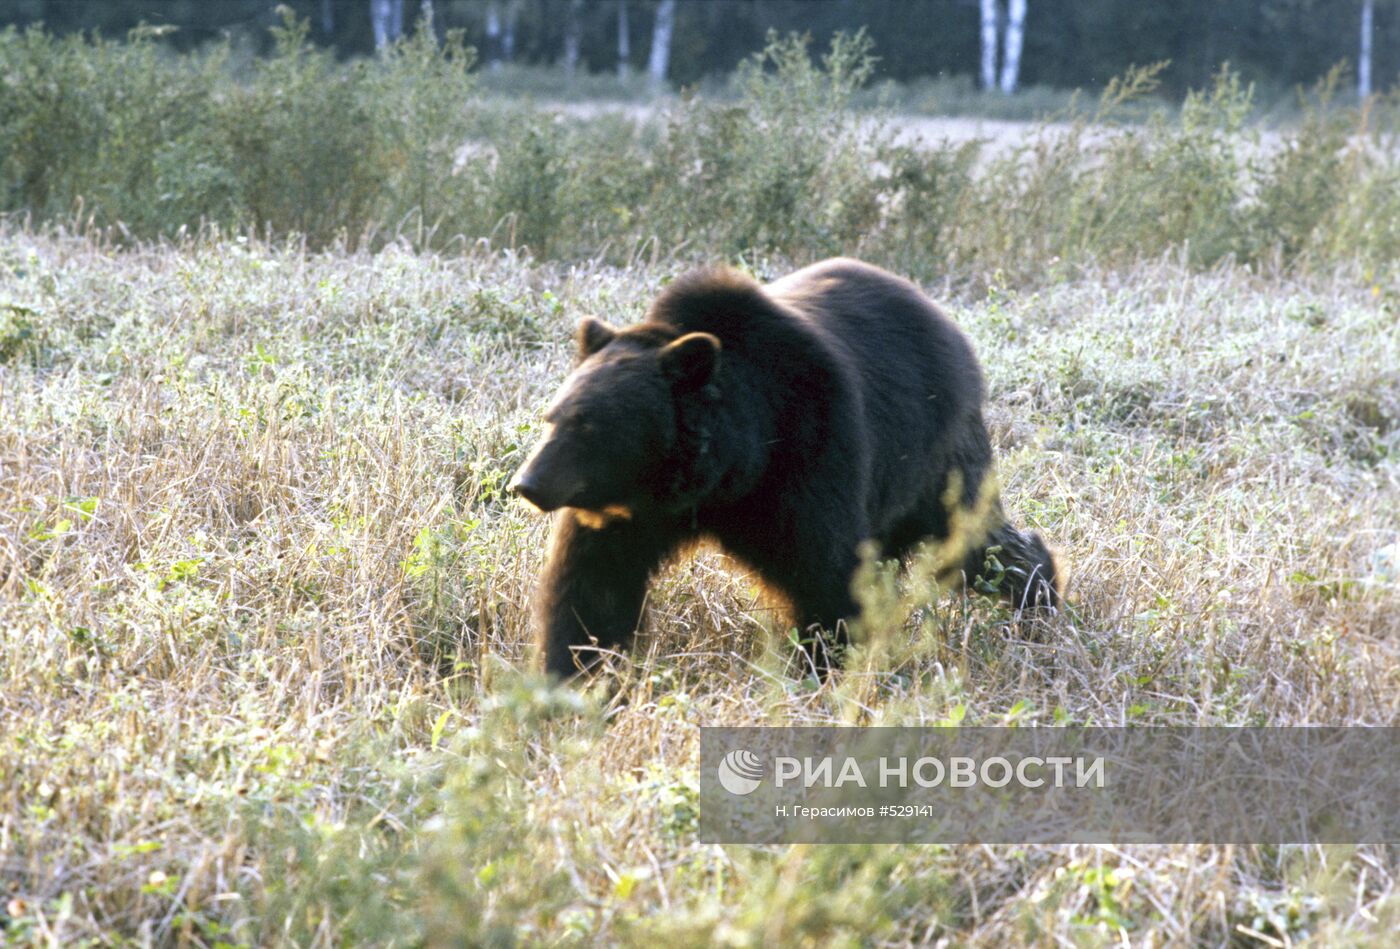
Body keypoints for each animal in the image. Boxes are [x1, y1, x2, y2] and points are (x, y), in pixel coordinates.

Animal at [512, 256, 1058, 680]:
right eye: (552, 416)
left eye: (588, 425)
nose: (527, 483)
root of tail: (948, 325)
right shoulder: (630, 514)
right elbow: (593, 586)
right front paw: (575, 669)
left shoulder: (809, 456)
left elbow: (824, 574)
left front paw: (821, 666)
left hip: (930, 457)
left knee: (970, 539)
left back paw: (1039, 596)